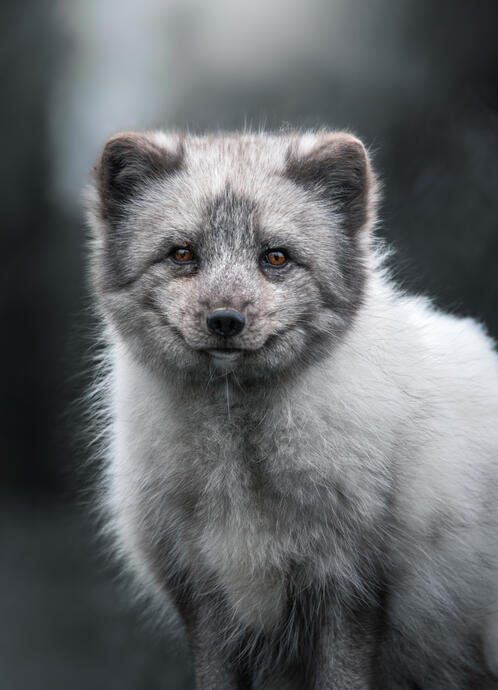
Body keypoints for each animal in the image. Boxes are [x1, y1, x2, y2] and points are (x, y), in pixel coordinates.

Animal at [86, 130, 498, 689]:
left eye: (276, 258)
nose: (225, 320)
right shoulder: (206, 599)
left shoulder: (352, 589)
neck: (239, 465)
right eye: (182, 253)